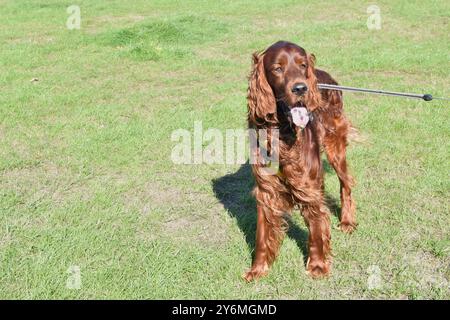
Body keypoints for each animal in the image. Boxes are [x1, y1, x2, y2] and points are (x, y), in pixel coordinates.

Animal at [244, 41, 356, 282]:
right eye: (278, 68)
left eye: (302, 65)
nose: (300, 88)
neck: (283, 132)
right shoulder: (266, 188)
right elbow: (262, 233)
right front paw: (258, 268)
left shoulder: (308, 185)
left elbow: (316, 225)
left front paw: (318, 265)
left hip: (335, 146)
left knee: (346, 183)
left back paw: (347, 221)